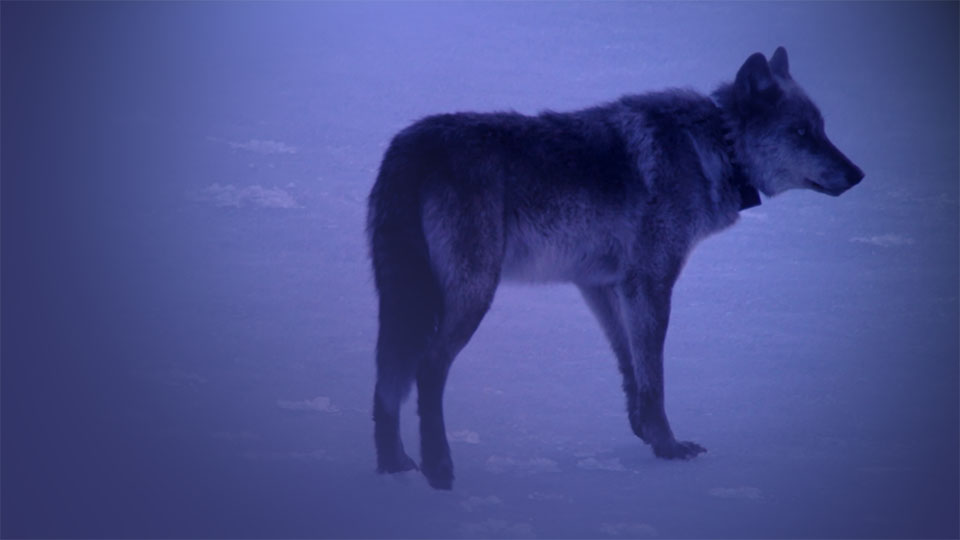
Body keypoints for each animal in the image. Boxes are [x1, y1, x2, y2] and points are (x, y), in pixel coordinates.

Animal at [366, 47, 864, 490]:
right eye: (800, 132)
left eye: (822, 129)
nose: (859, 174)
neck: (713, 147)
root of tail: (410, 145)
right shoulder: (650, 283)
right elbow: (655, 377)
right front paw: (670, 448)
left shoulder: (603, 285)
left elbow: (632, 370)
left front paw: (649, 437)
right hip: (472, 296)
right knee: (426, 368)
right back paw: (438, 471)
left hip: (403, 301)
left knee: (386, 377)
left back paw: (393, 467)